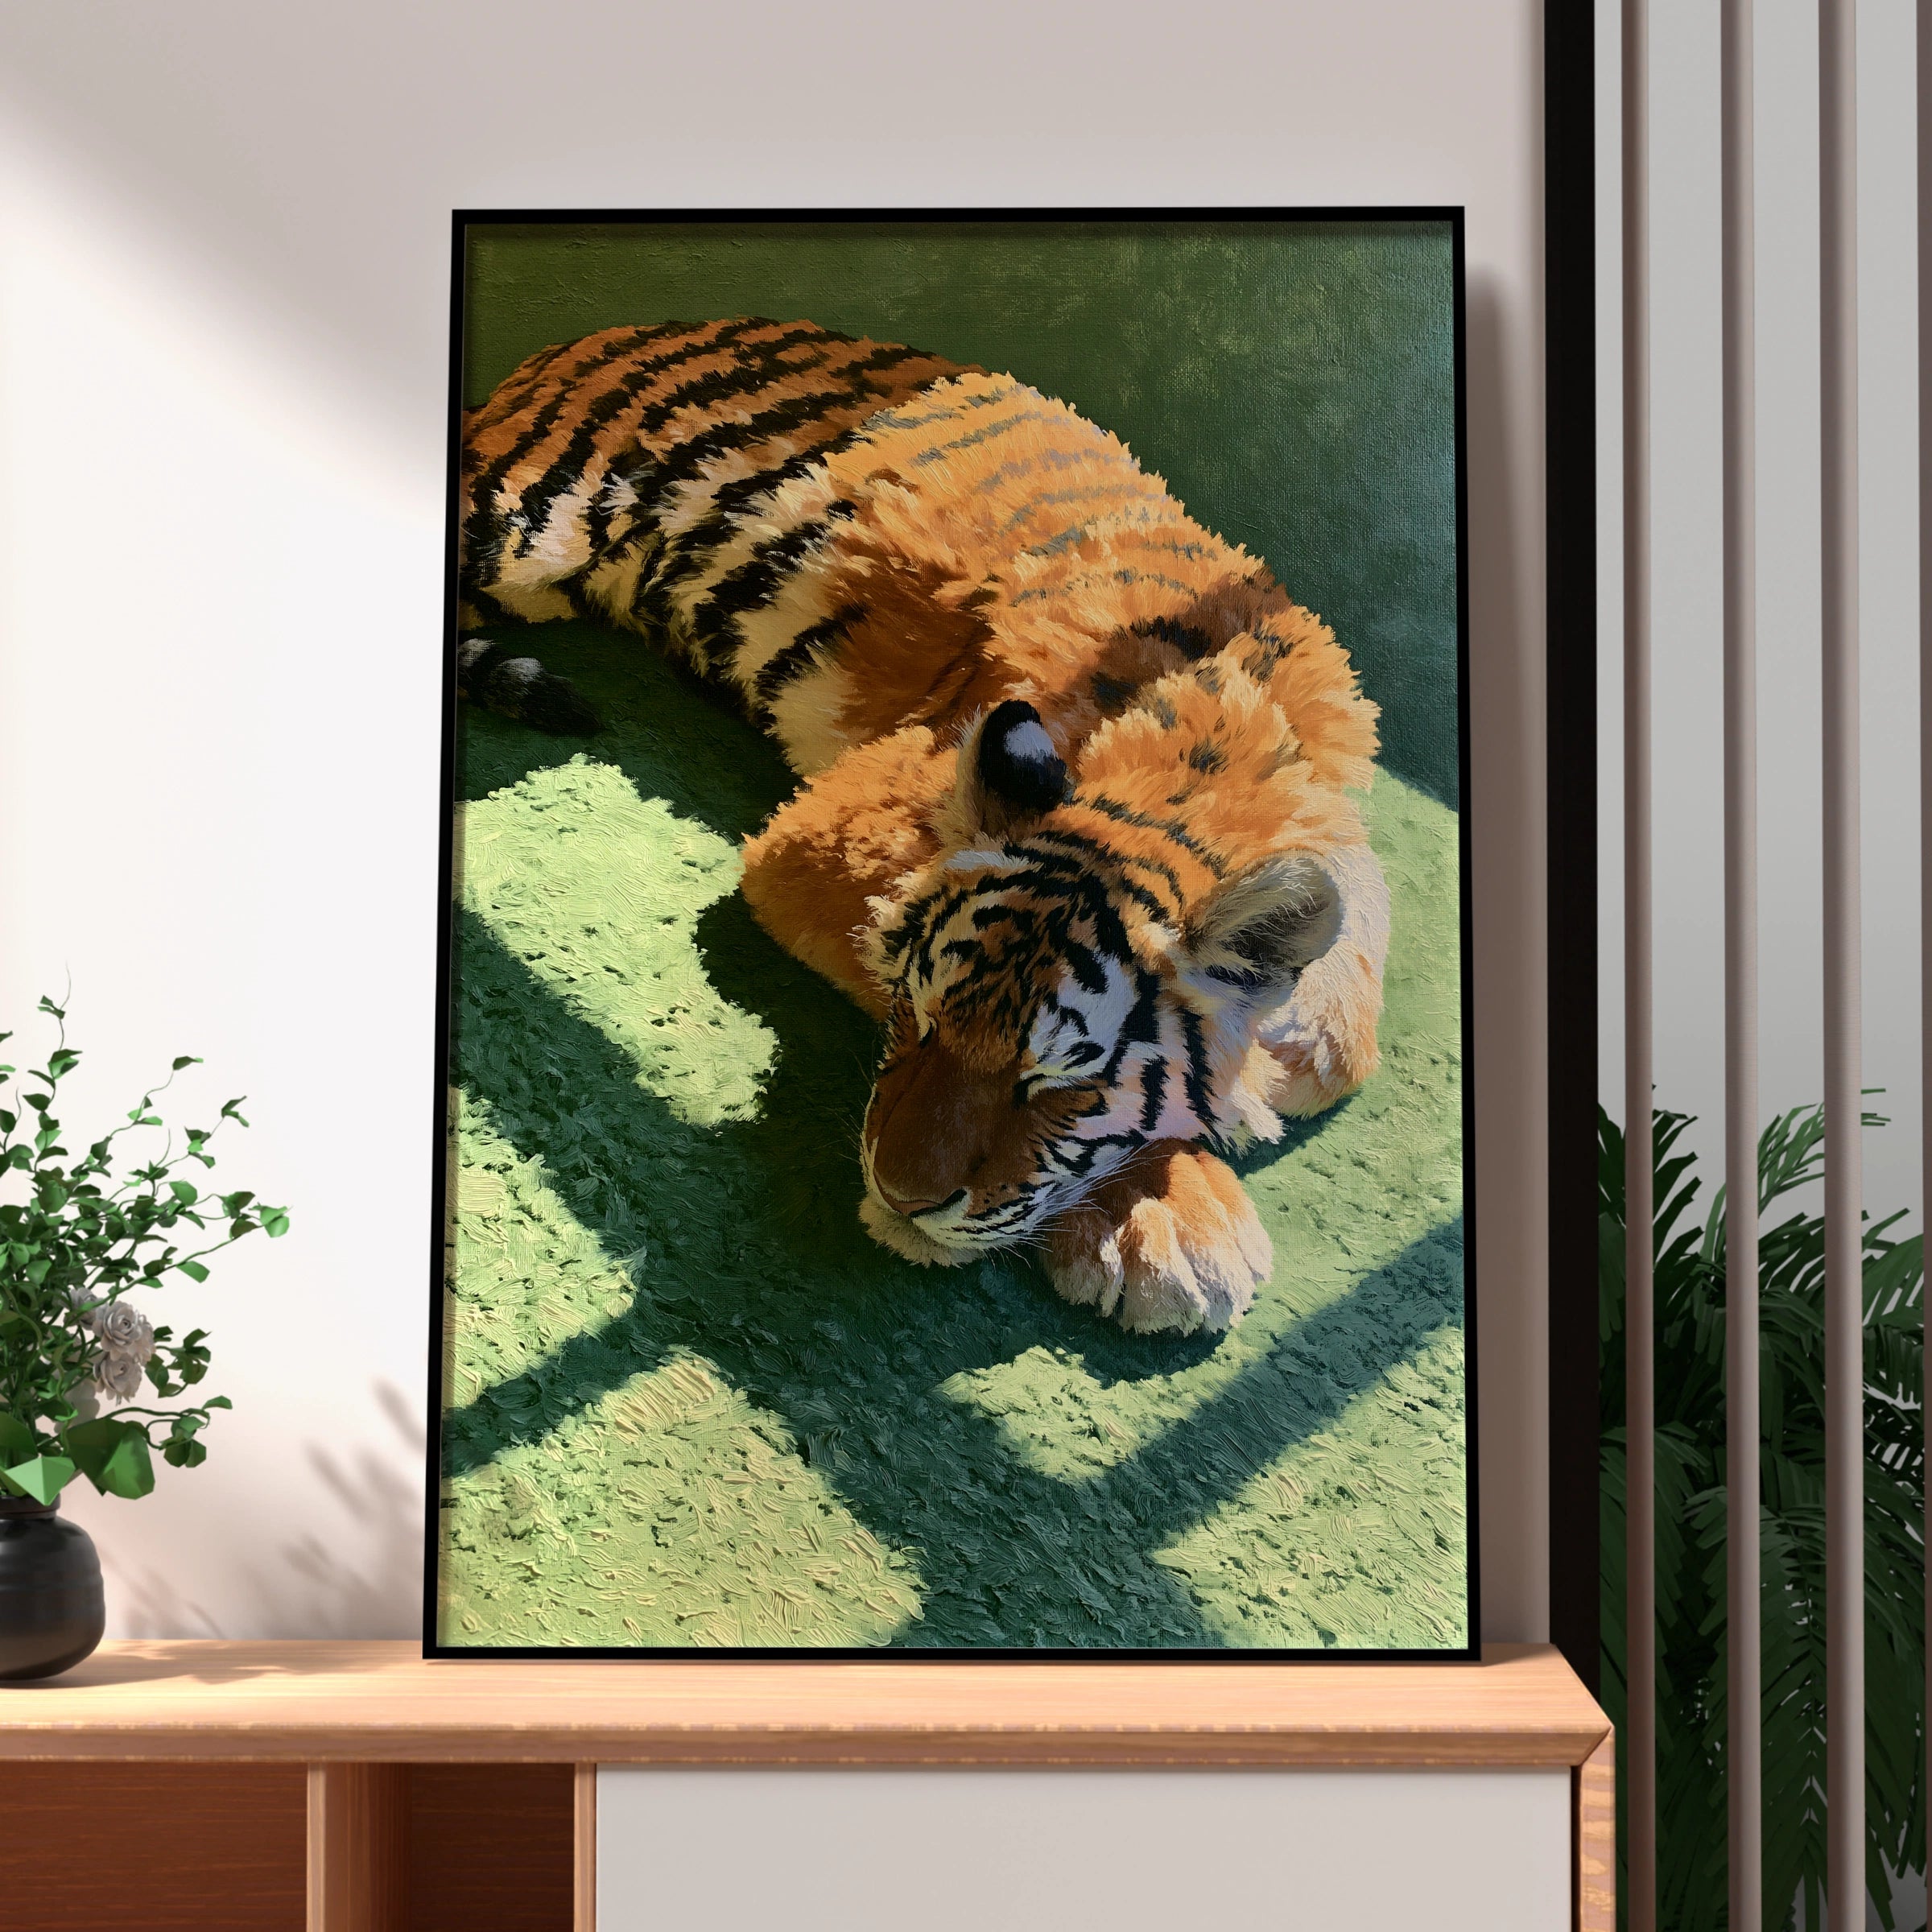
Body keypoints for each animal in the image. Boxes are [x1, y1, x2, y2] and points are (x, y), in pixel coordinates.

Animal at [458, 316, 1389, 1335]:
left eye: (1065, 1089)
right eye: (916, 1016)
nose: (900, 1200)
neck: (1208, 756)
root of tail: (589, 338)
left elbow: (1341, 1034)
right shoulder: (821, 838)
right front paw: (1172, 1215)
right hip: (516, 527)